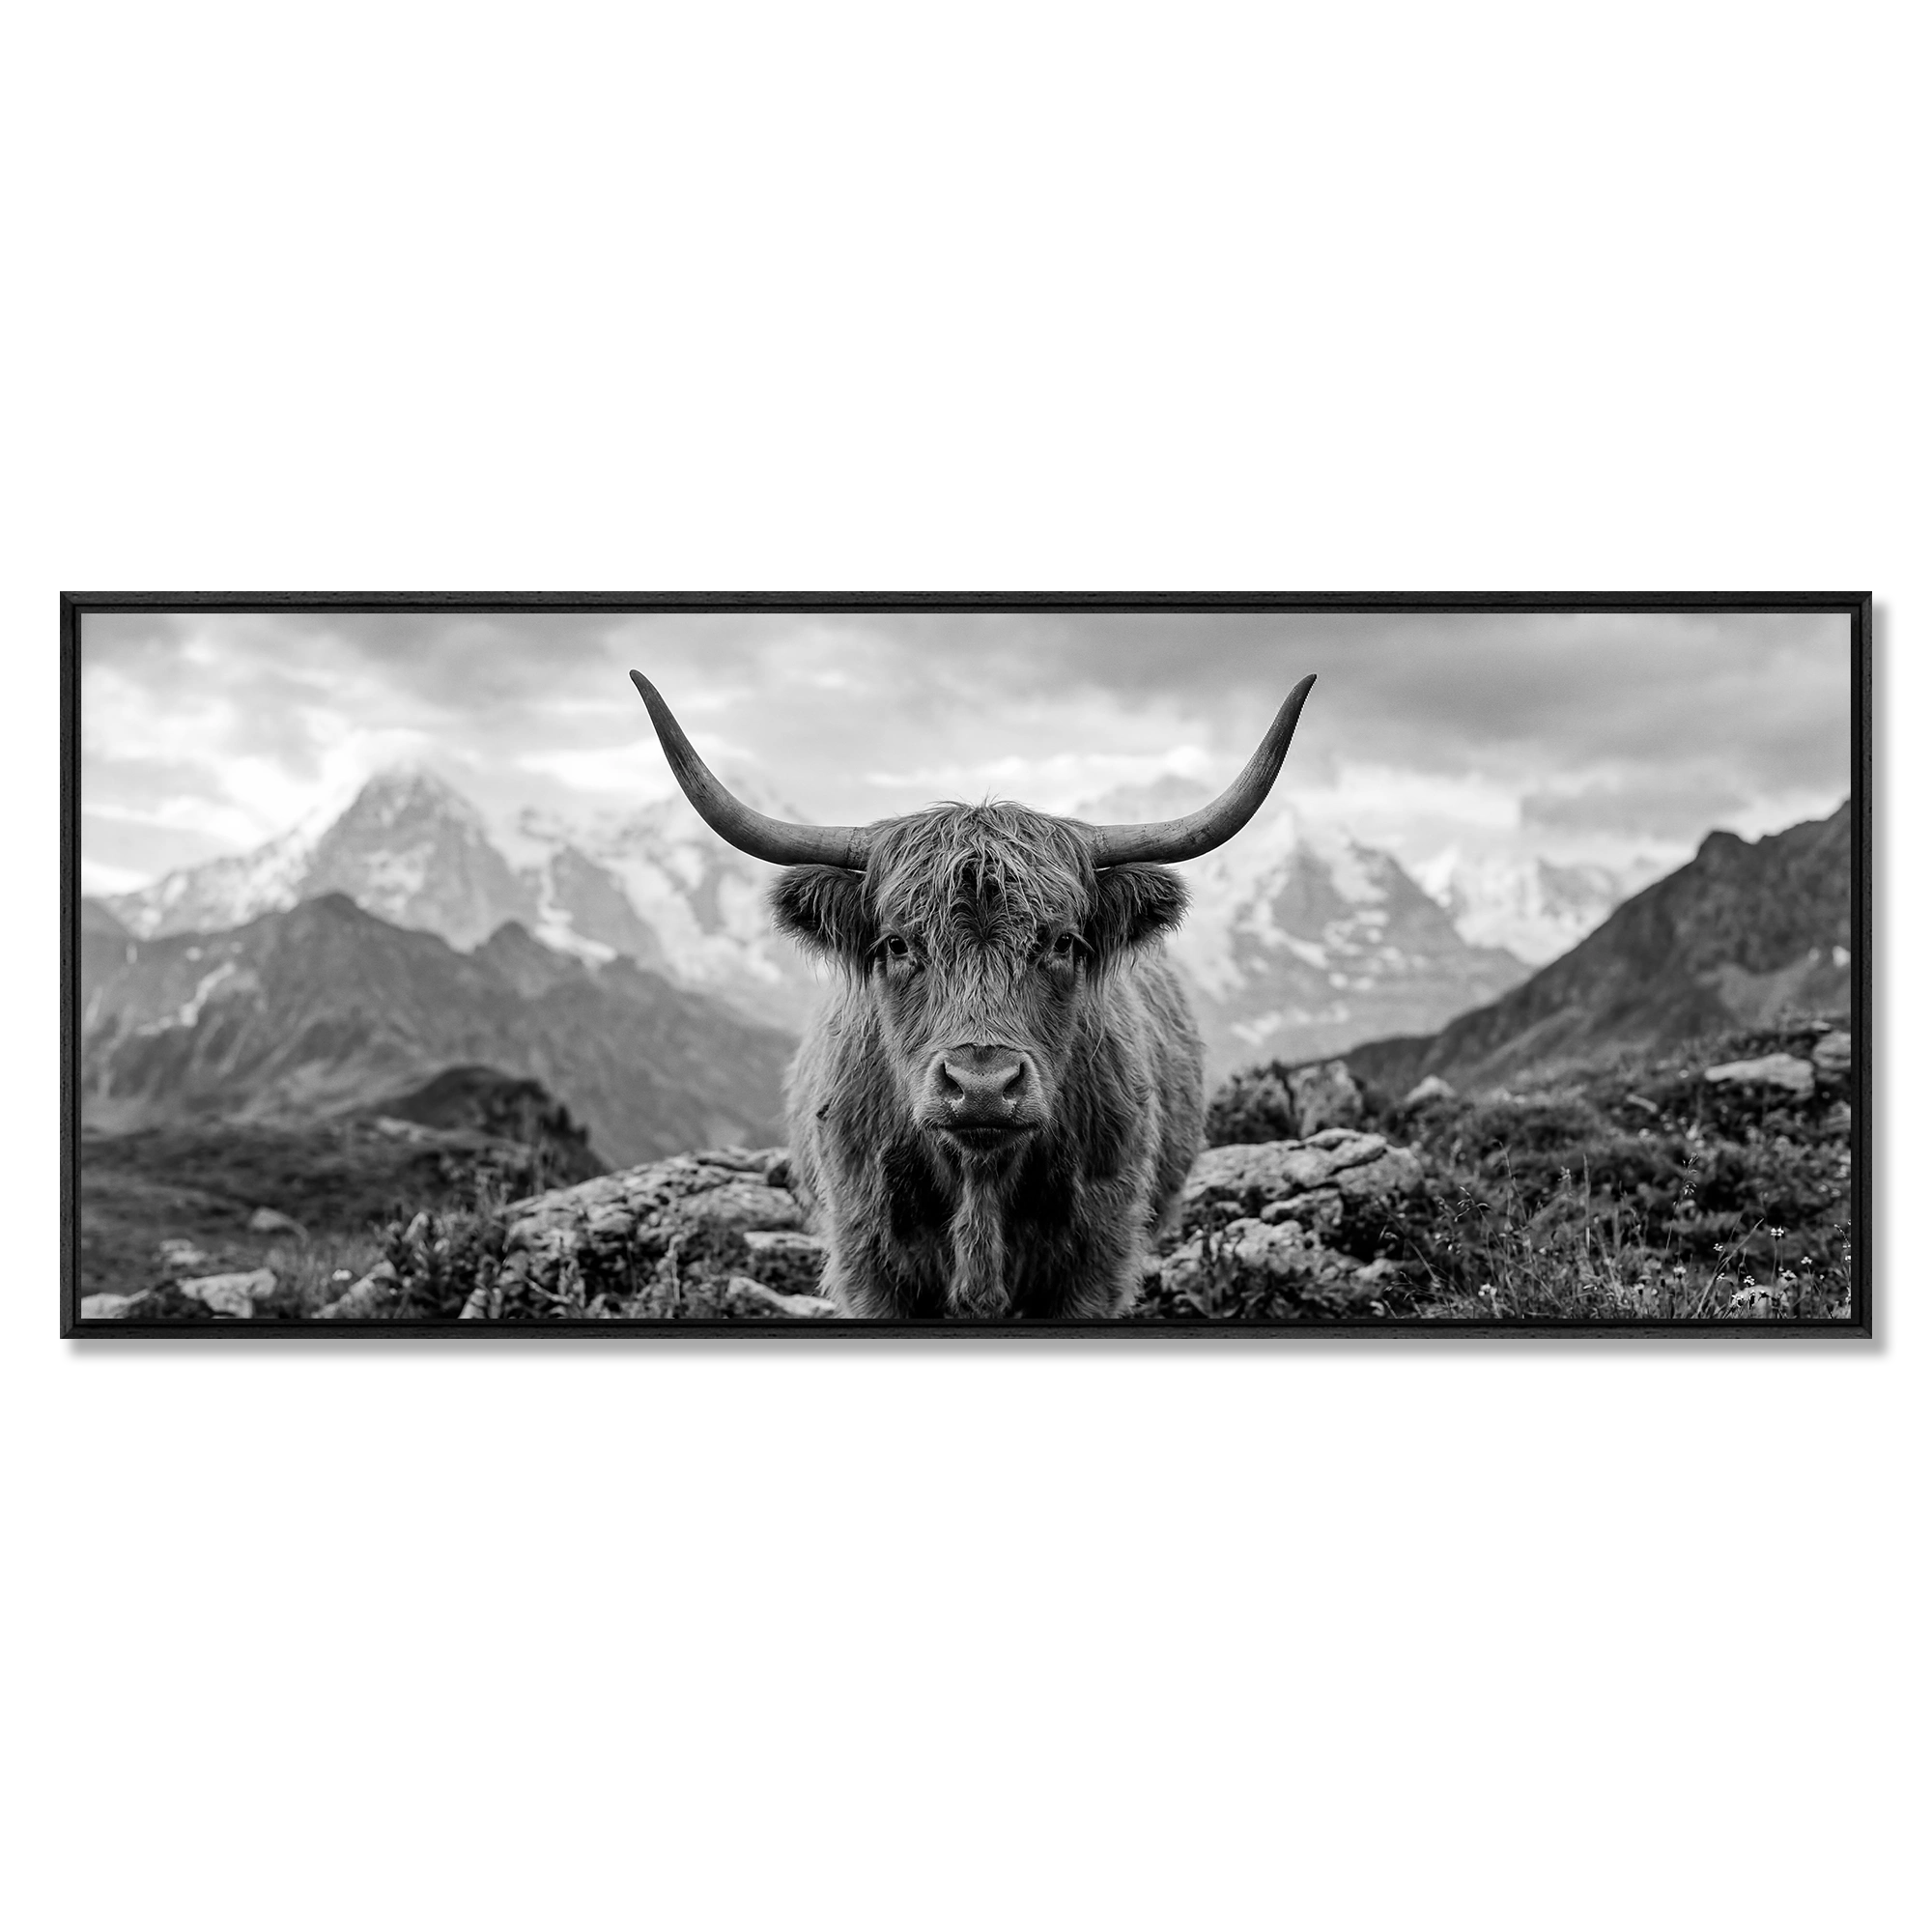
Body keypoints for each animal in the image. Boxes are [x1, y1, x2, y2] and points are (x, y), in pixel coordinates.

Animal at [630, 669, 1316, 1318]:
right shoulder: (866, 1264)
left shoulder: (1098, 1259)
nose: (982, 1086)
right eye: (897, 944)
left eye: (1062, 942)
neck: (978, 1179)